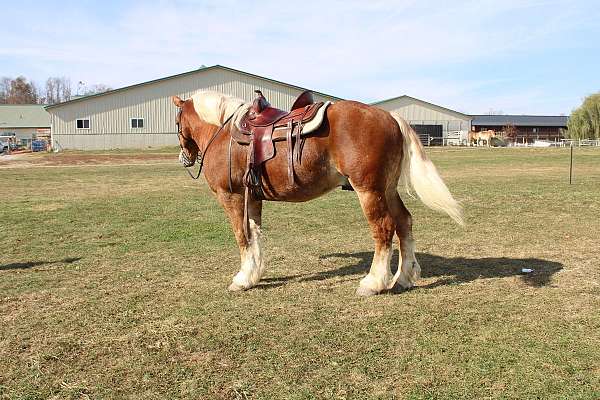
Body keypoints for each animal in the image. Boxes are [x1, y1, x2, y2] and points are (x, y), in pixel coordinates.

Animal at [173, 91, 464, 296]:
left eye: (177, 121)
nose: (184, 158)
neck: (224, 132)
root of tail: (390, 116)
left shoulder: (231, 196)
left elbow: (242, 236)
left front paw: (242, 279)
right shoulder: (252, 198)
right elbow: (254, 234)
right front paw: (254, 274)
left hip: (369, 190)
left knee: (383, 228)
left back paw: (373, 283)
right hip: (387, 189)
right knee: (404, 222)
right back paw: (403, 278)